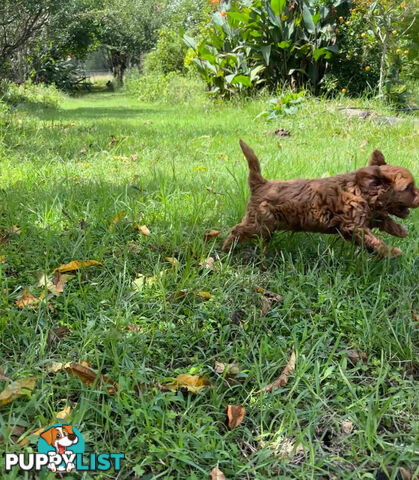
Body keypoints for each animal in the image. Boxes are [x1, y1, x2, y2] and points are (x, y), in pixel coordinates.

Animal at [221, 141, 418, 256]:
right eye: (408, 188)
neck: (359, 190)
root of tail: (261, 183)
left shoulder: (365, 217)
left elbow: (382, 218)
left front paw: (400, 230)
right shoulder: (352, 225)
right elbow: (374, 240)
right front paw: (392, 251)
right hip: (261, 223)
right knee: (238, 230)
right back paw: (227, 249)